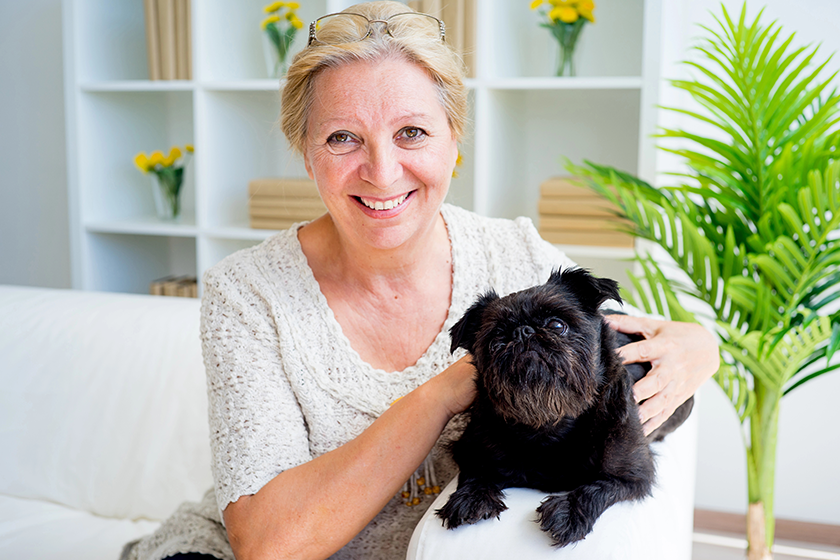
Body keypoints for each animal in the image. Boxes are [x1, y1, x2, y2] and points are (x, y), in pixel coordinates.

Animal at [436, 266, 692, 548]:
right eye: (496, 341)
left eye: (557, 325)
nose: (523, 332)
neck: (550, 422)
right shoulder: (469, 448)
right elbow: (475, 470)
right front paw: (471, 497)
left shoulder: (632, 475)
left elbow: (599, 487)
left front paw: (569, 511)